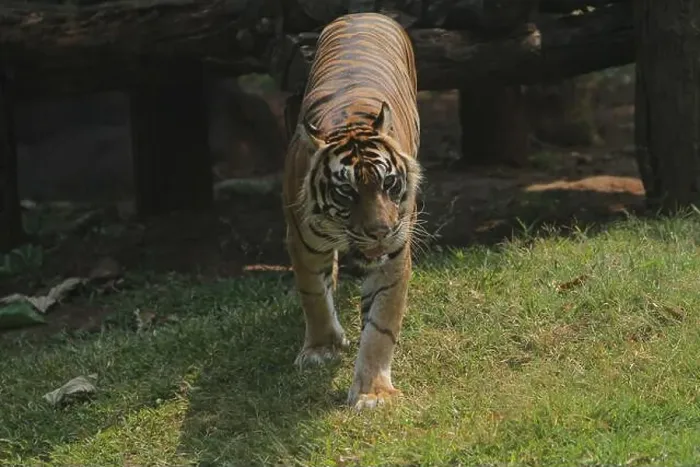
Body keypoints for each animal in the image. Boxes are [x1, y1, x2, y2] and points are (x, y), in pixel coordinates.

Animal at [282, 12, 422, 411]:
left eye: (388, 184)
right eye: (347, 192)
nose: (380, 232)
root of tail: (364, 12)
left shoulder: (395, 252)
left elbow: (381, 324)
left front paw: (373, 392)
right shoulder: (302, 240)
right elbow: (313, 295)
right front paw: (322, 349)